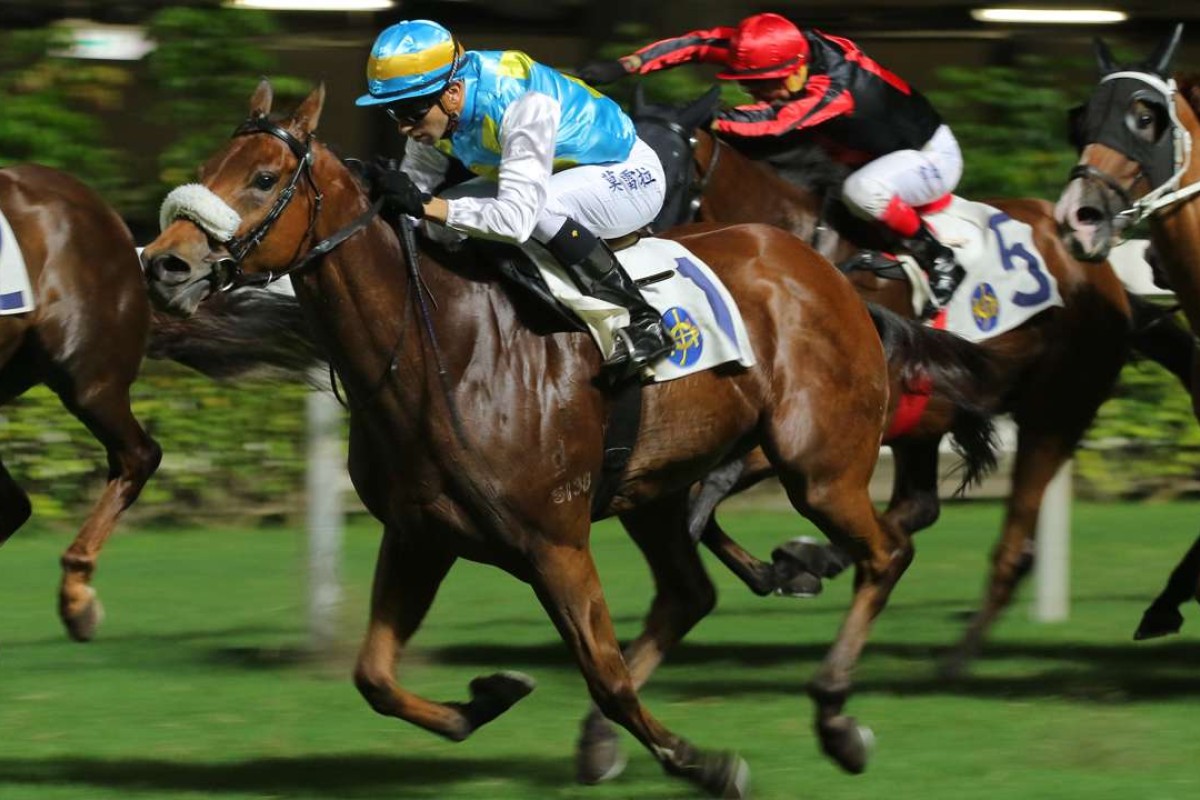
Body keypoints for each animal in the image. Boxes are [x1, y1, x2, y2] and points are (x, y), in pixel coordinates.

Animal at [138, 81, 1003, 796]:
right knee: (691, 590)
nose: (165, 264)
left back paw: (834, 713)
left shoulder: (554, 541)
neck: (442, 348)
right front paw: (488, 696)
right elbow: (374, 676)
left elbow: (606, 674)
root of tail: (834, 279)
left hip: (818, 464)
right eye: (209, 165)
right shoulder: (422, 535)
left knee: (885, 551)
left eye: (261, 179)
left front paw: (706, 763)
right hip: (655, 488)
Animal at [633, 92, 1137, 676]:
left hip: (1054, 413)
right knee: (918, 508)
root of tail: (1099, 268)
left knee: (1012, 542)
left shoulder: (812, 421)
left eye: (667, 167)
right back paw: (821, 559)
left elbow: (707, 489)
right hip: (930, 424)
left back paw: (954, 659)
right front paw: (779, 569)